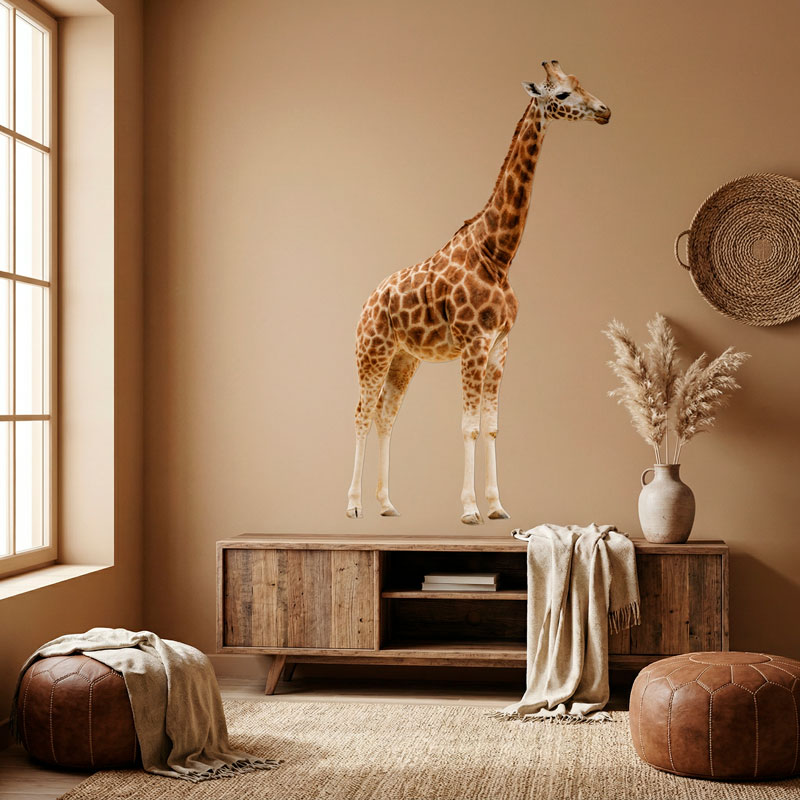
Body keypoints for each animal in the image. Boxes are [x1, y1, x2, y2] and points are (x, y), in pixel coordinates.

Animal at [346, 61, 610, 524]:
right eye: (561, 94)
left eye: (580, 84)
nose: (604, 111)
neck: (498, 254)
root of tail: (367, 301)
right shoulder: (474, 343)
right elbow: (468, 426)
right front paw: (469, 509)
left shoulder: (501, 345)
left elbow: (491, 426)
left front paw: (497, 506)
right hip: (372, 352)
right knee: (361, 414)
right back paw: (354, 505)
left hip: (404, 360)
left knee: (385, 415)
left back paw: (387, 504)